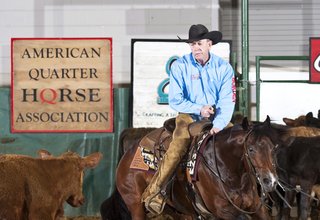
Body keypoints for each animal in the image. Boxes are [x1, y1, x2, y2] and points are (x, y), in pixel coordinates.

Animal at [102, 116, 282, 219]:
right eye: (251, 149)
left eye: (274, 148)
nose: (270, 181)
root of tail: (128, 154)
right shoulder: (224, 211)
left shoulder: (257, 207)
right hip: (135, 204)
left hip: (176, 210)